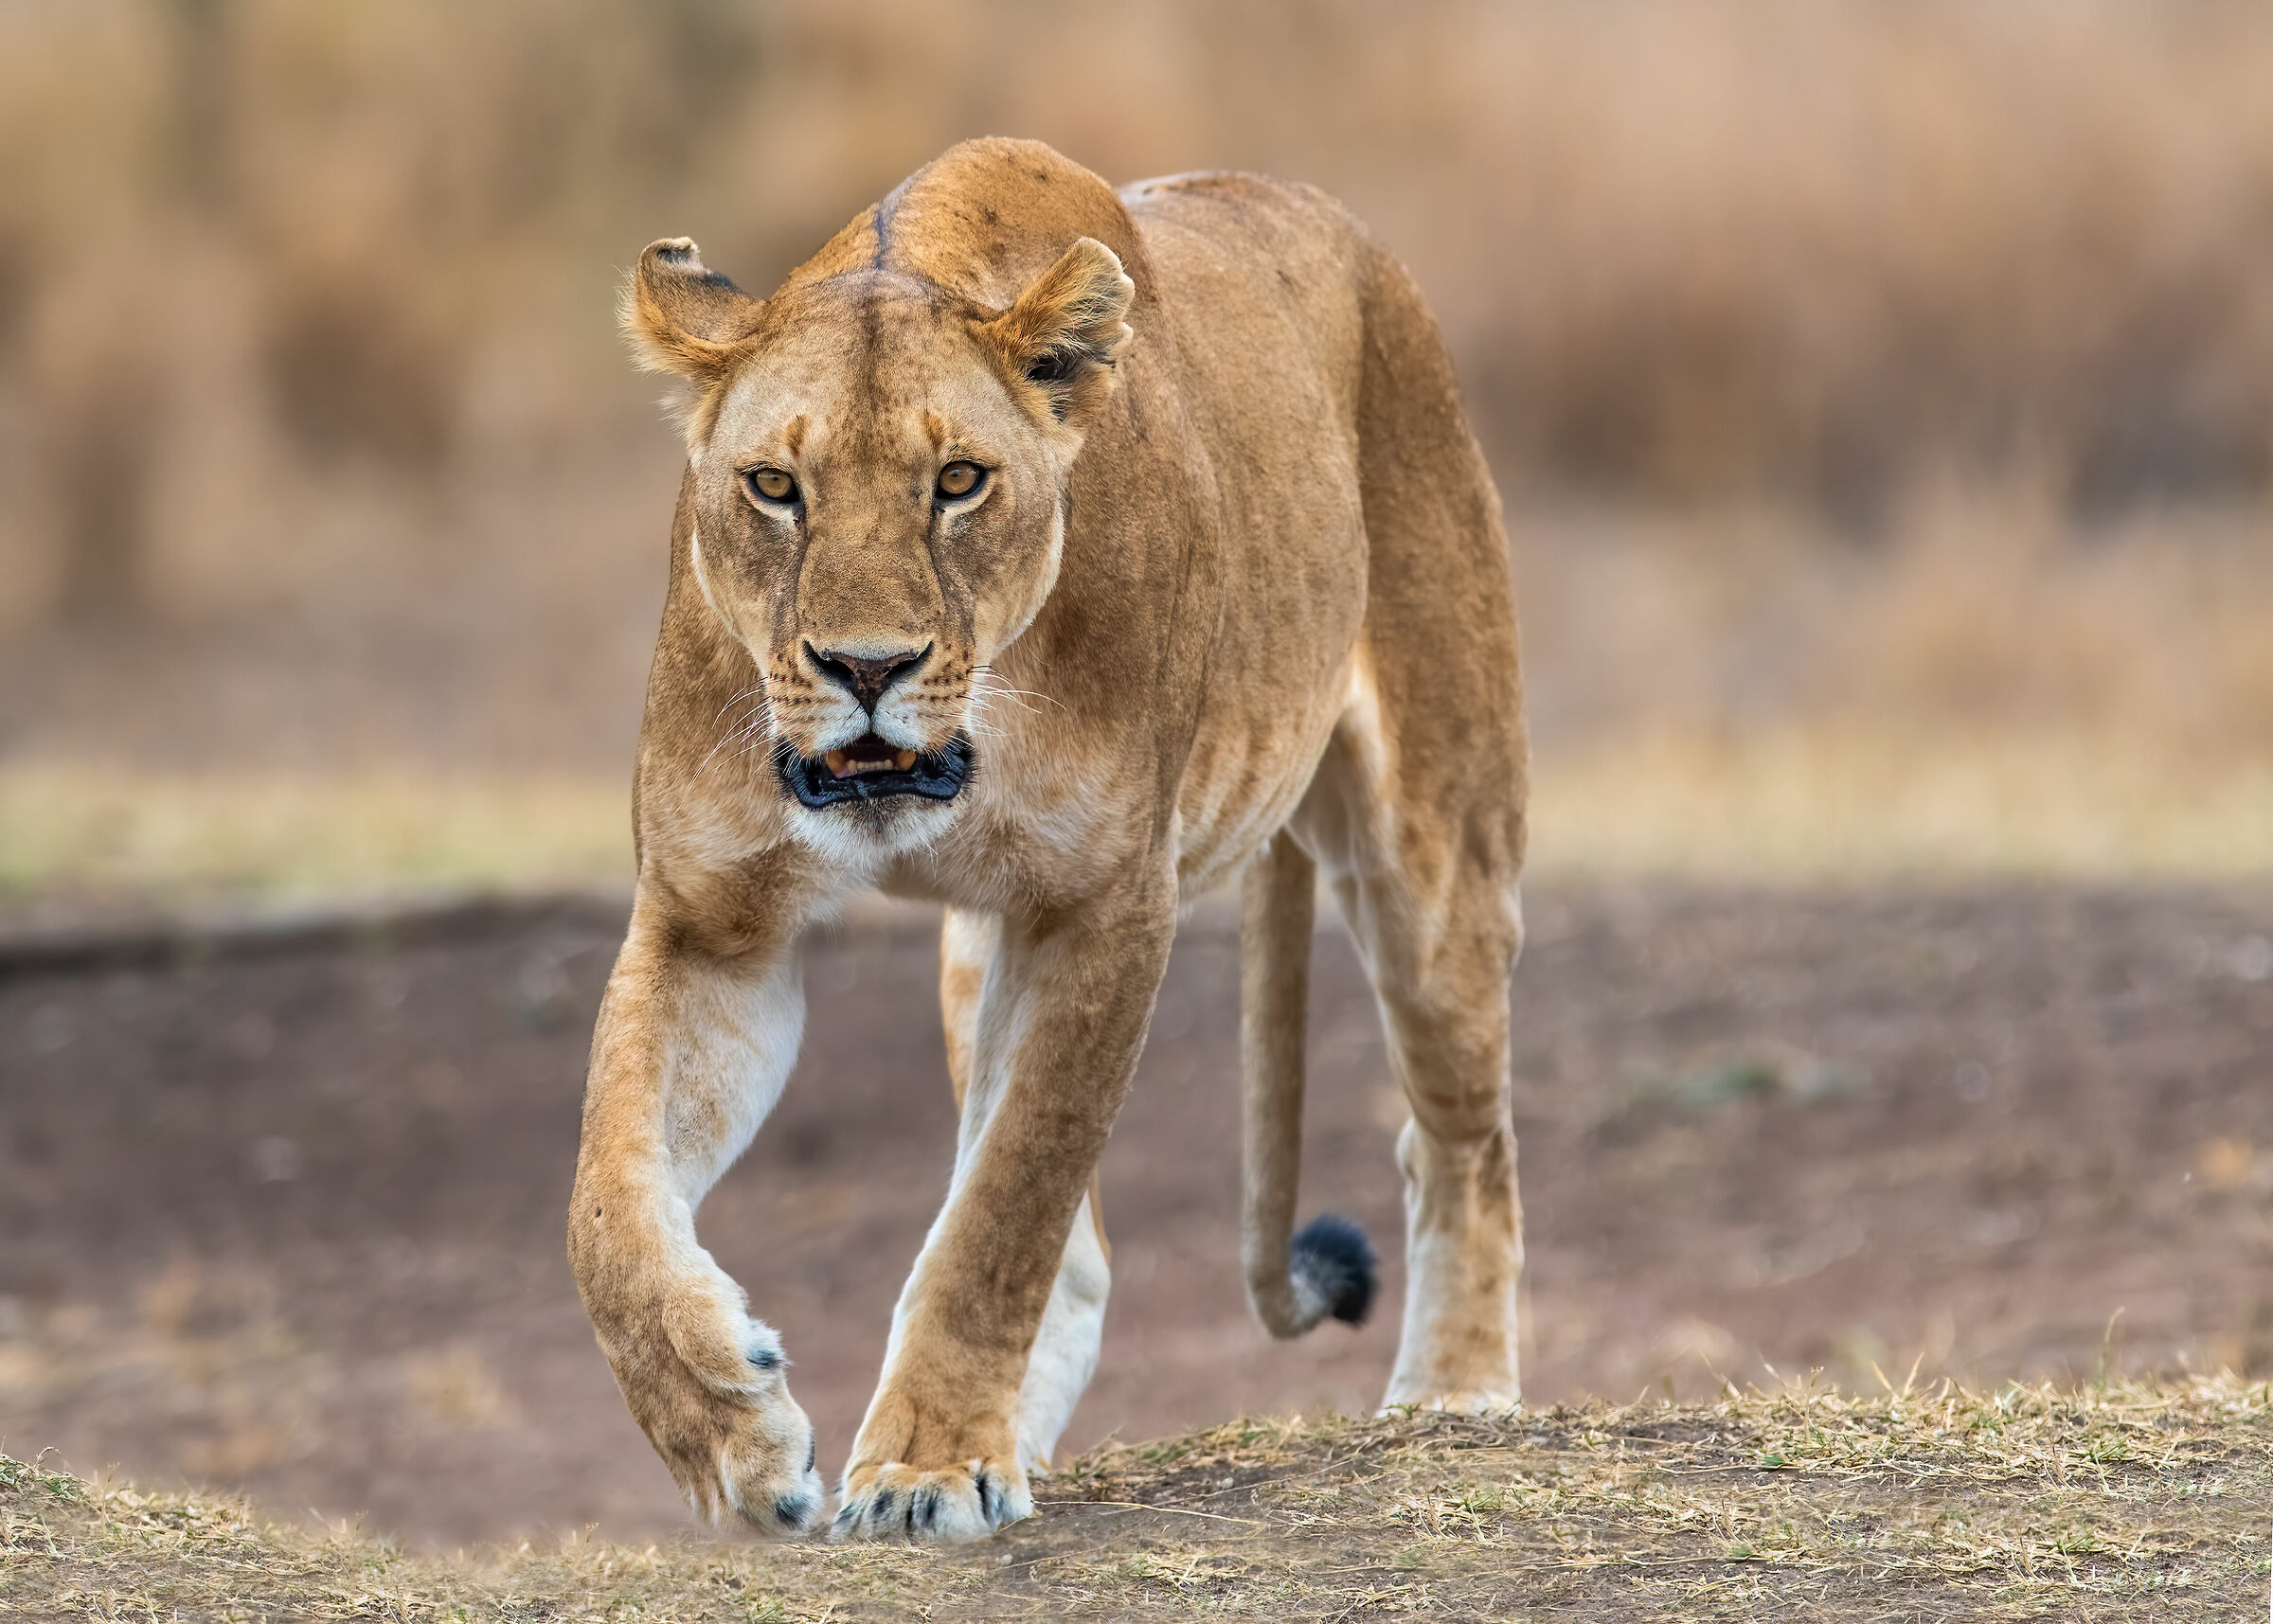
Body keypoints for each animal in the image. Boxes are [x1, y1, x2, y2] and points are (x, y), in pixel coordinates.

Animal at [568, 137, 1528, 1545]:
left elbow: (1005, 1206)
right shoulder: (709, 921)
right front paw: (731, 1435)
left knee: (1458, 1139)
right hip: (984, 949)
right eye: (776, 488)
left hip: (1438, 848)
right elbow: (607, 1201)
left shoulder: (1105, 902)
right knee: (1076, 1248)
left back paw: (1456, 1394)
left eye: (959, 481)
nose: (866, 667)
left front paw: (922, 1466)